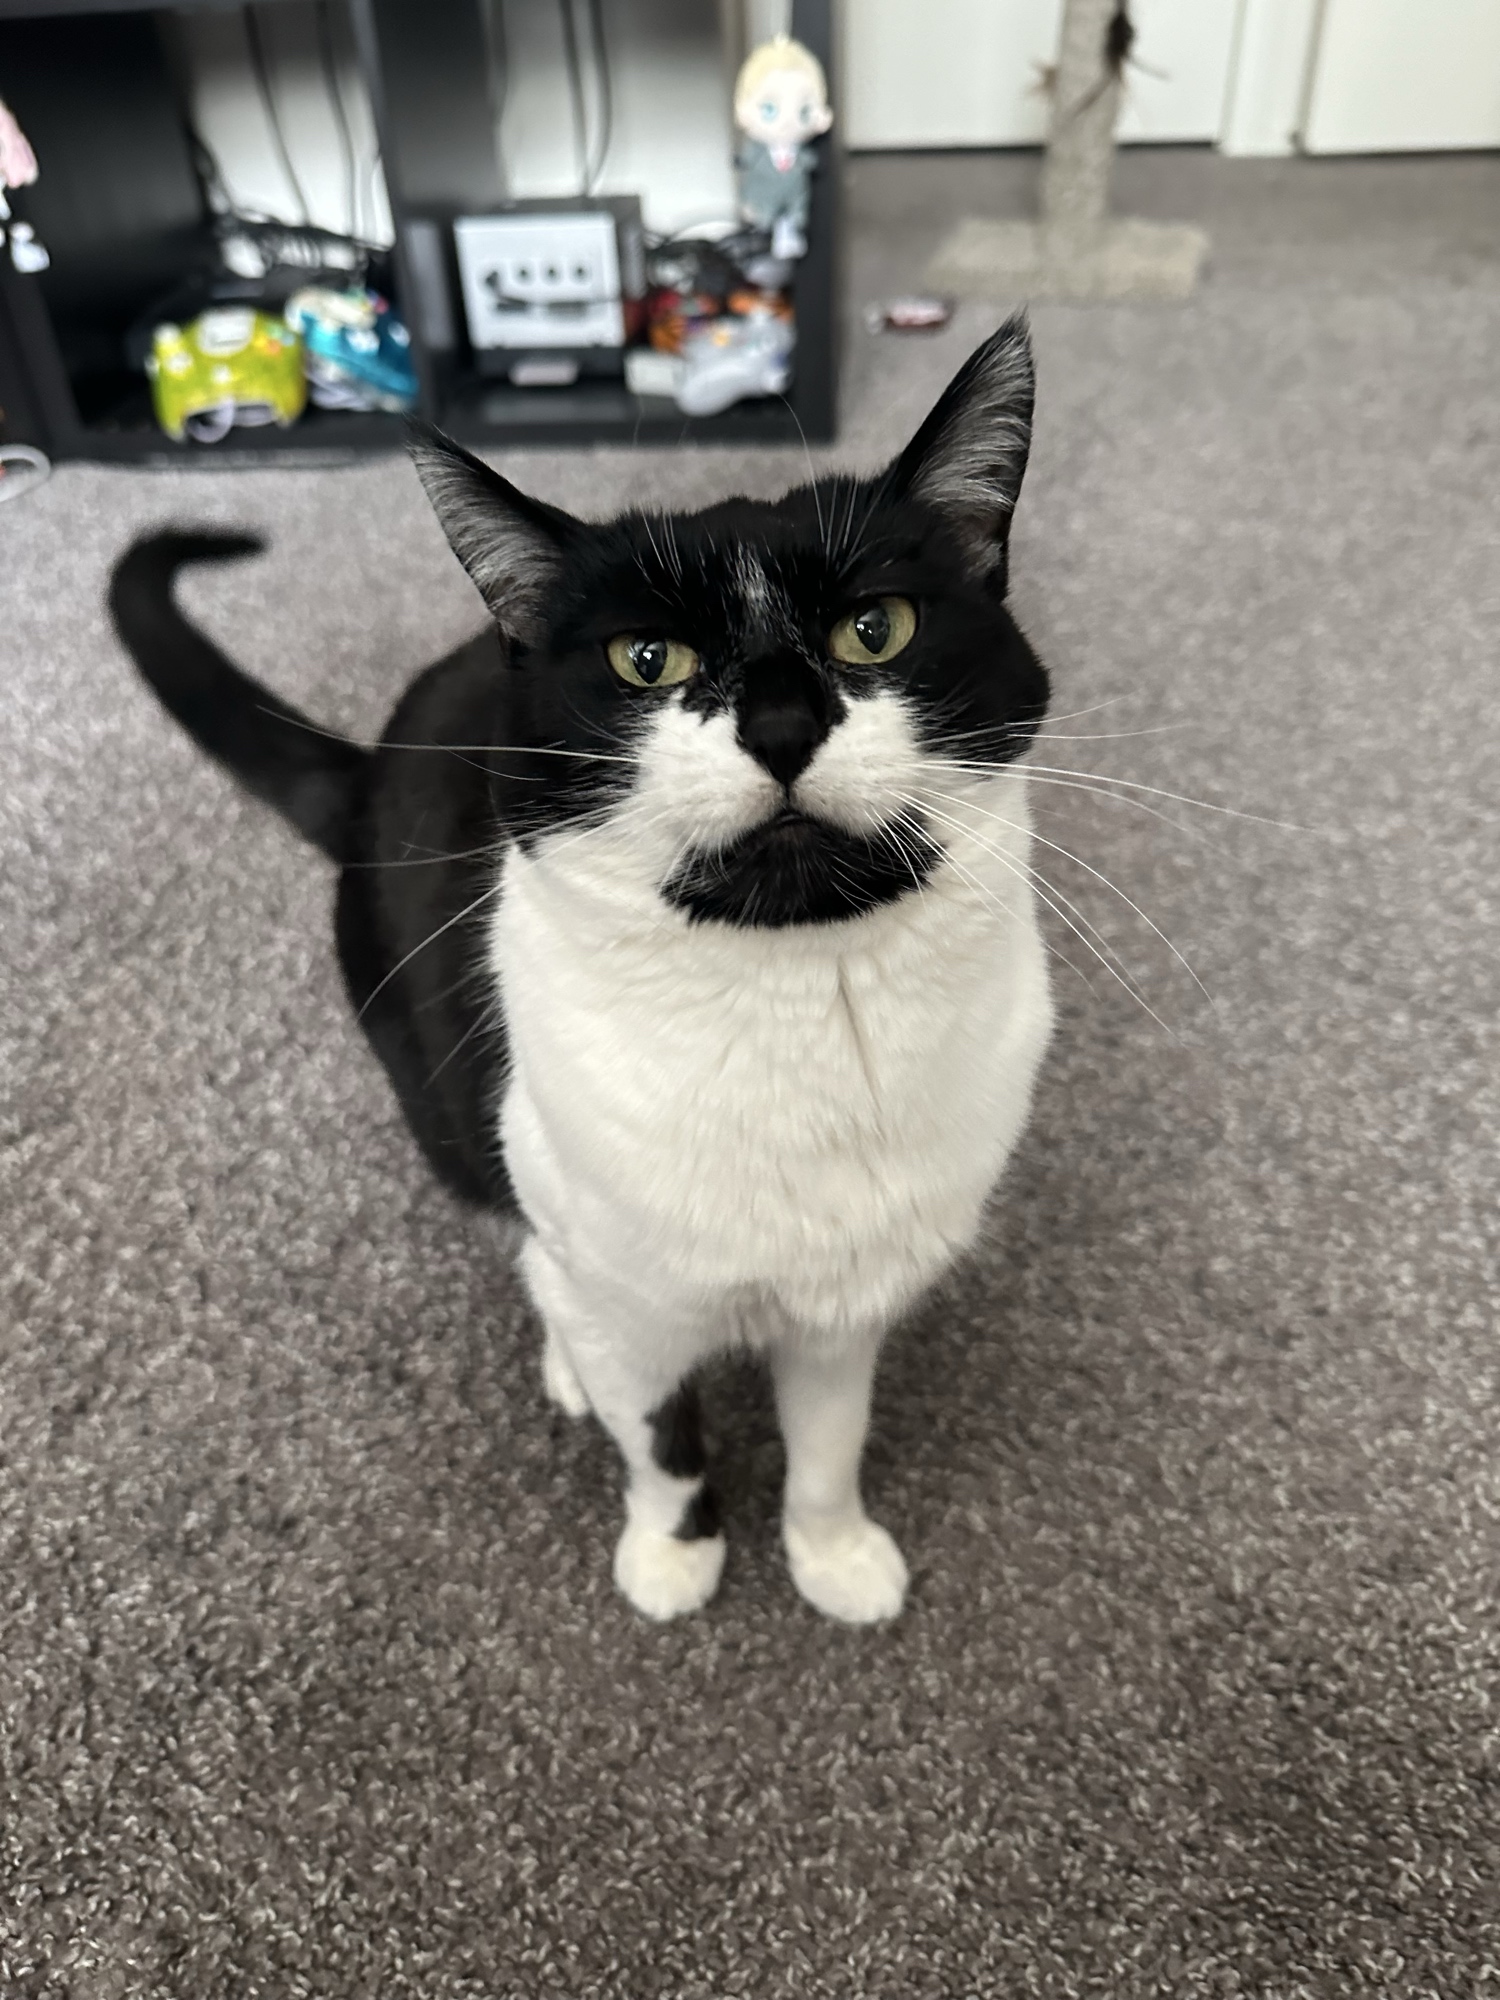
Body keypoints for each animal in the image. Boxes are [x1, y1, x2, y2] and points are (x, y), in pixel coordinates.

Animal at [110, 313, 1054, 1625]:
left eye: (878, 629)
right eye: (646, 659)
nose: (780, 719)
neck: (800, 1006)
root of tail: (367, 772)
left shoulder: (846, 1301)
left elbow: (829, 1436)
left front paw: (832, 1553)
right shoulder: (629, 1296)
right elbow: (660, 1436)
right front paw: (673, 1556)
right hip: (450, 1107)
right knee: (525, 1241)